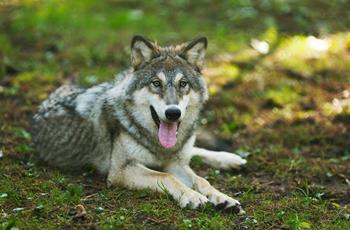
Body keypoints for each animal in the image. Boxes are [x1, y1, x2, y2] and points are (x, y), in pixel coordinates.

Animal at [32, 35, 246, 214]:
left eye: (183, 83)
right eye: (156, 83)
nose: (173, 113)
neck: (159, 147)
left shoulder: (175, 163)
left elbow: (201, 180)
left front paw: (222, 197)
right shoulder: (121, 171)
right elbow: (166, 176)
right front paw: (192, 196)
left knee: (194, 152)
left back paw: (231, 159)